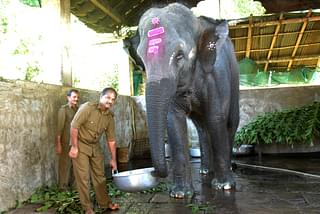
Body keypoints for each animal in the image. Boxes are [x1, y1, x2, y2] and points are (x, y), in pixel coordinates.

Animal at [129, 2, 239, 198]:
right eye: (141, 59)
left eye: (180, 55)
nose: (152, 172)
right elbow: (173, 120)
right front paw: (180, 194)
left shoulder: (215, 75)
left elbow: (216, 117)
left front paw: (224, 186)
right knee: (202, 128)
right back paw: (205, 171)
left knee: (230, 123)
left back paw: (226, 171)